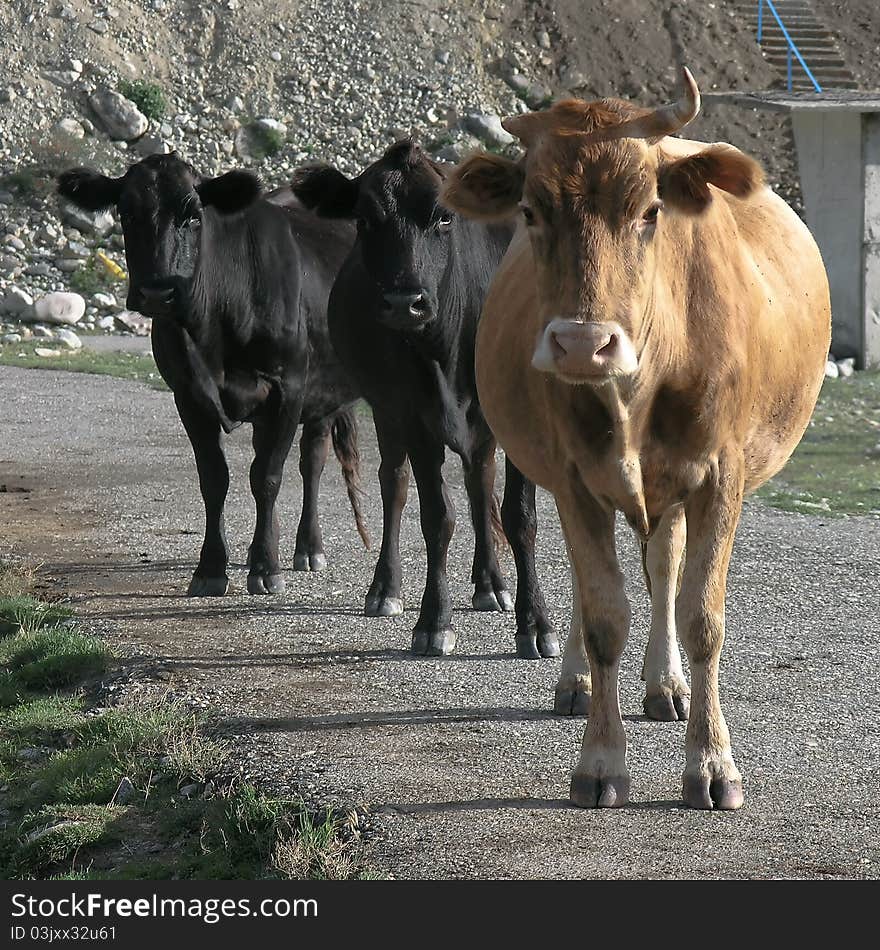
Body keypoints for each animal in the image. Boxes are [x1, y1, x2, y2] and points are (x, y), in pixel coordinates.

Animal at [55, 154, 366, 596]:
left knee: (312, 461)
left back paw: (309, 548)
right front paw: (211, 568)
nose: (157, 292)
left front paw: (266, 568)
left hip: (323, 391)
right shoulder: (187, 394)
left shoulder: (288, 388)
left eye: (194, 215)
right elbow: (214, 478)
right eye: (126, 212)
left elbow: (267, 476)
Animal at [292, 141, 556, 660]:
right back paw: (386, 589)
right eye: (365, 220)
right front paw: (434, 621)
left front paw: (535, 623)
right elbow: (436, 516)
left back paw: (491, 584)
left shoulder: (523, 415)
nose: (403, 302)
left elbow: (519, 516)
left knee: (480, 484)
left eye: (445, 218)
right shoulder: (412, 414)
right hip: (387, 412)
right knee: (395, 485)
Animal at [446, 69, 832, 812]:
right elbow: (603, 613)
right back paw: (578, 680)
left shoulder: (719, 475)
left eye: (651, 211)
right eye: (531, 211)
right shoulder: (573, 477)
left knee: (665, 566)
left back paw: (666, 684)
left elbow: (701, 615)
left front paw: (712, 763)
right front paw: (600, 760)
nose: (582, 344)